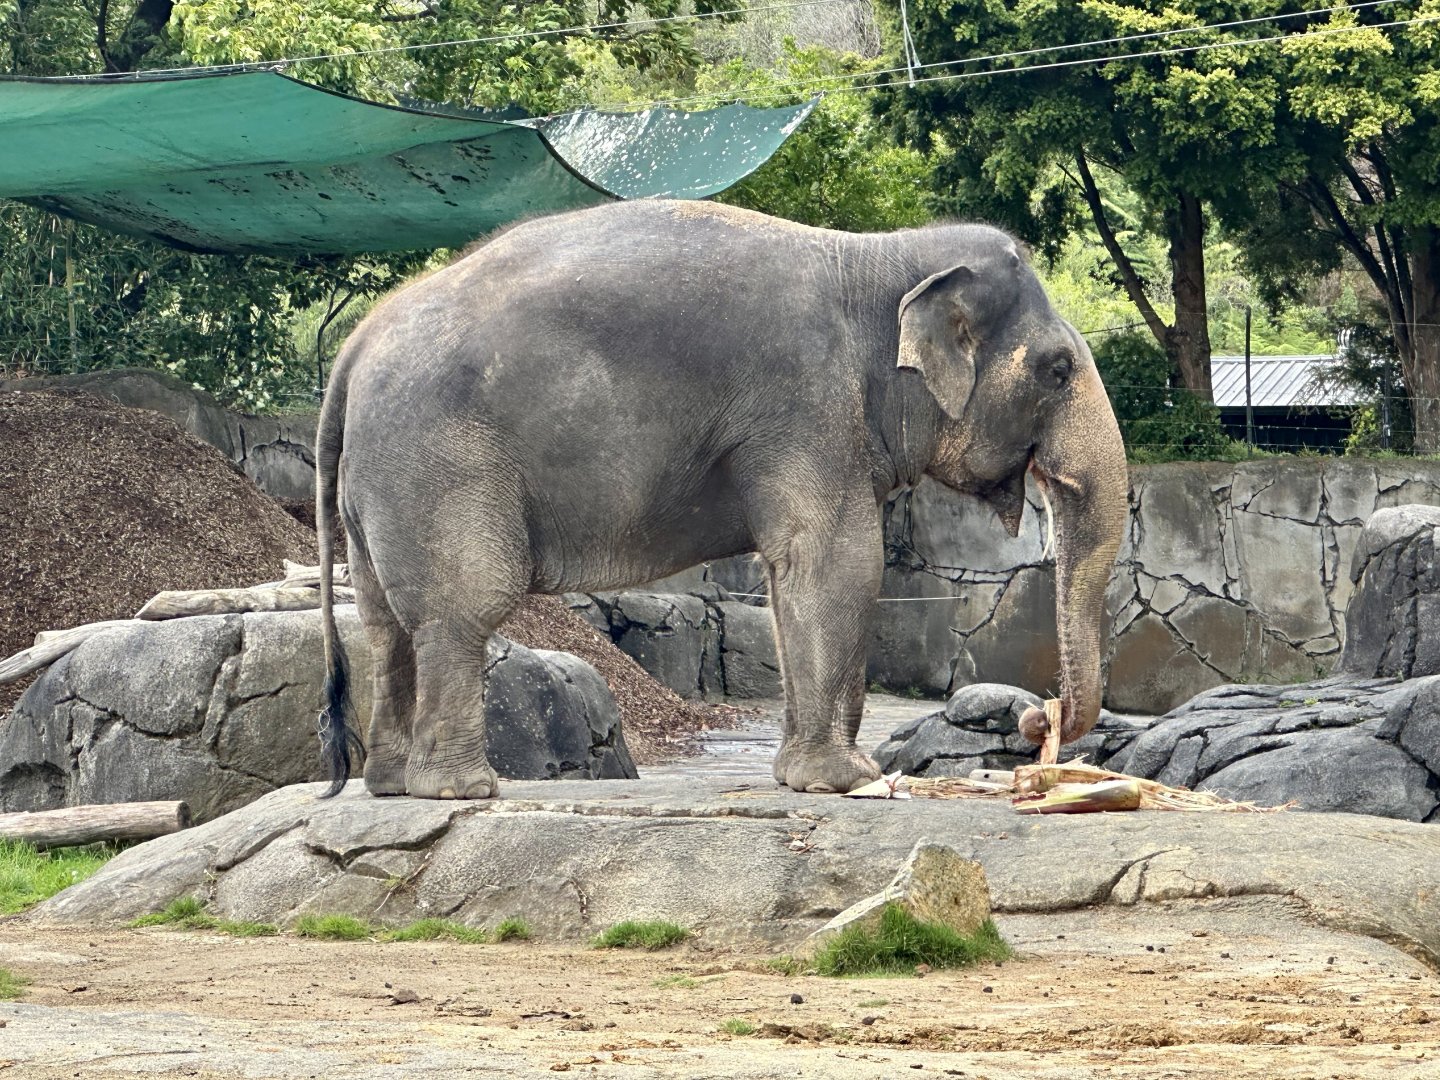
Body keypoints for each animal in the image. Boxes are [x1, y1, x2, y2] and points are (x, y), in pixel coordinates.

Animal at [314, 199, 1128, 800]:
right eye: (1058, 370)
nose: (1038, 717)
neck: (878, 260)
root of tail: (351, 353)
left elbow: (794, 573)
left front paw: (811, 779)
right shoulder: (805, 401)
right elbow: (838, 563)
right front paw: (847, 781)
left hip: (381, 482)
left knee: (384, 622)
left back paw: (389, 787)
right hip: (441, 461)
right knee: (462, 607)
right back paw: (459, 791)